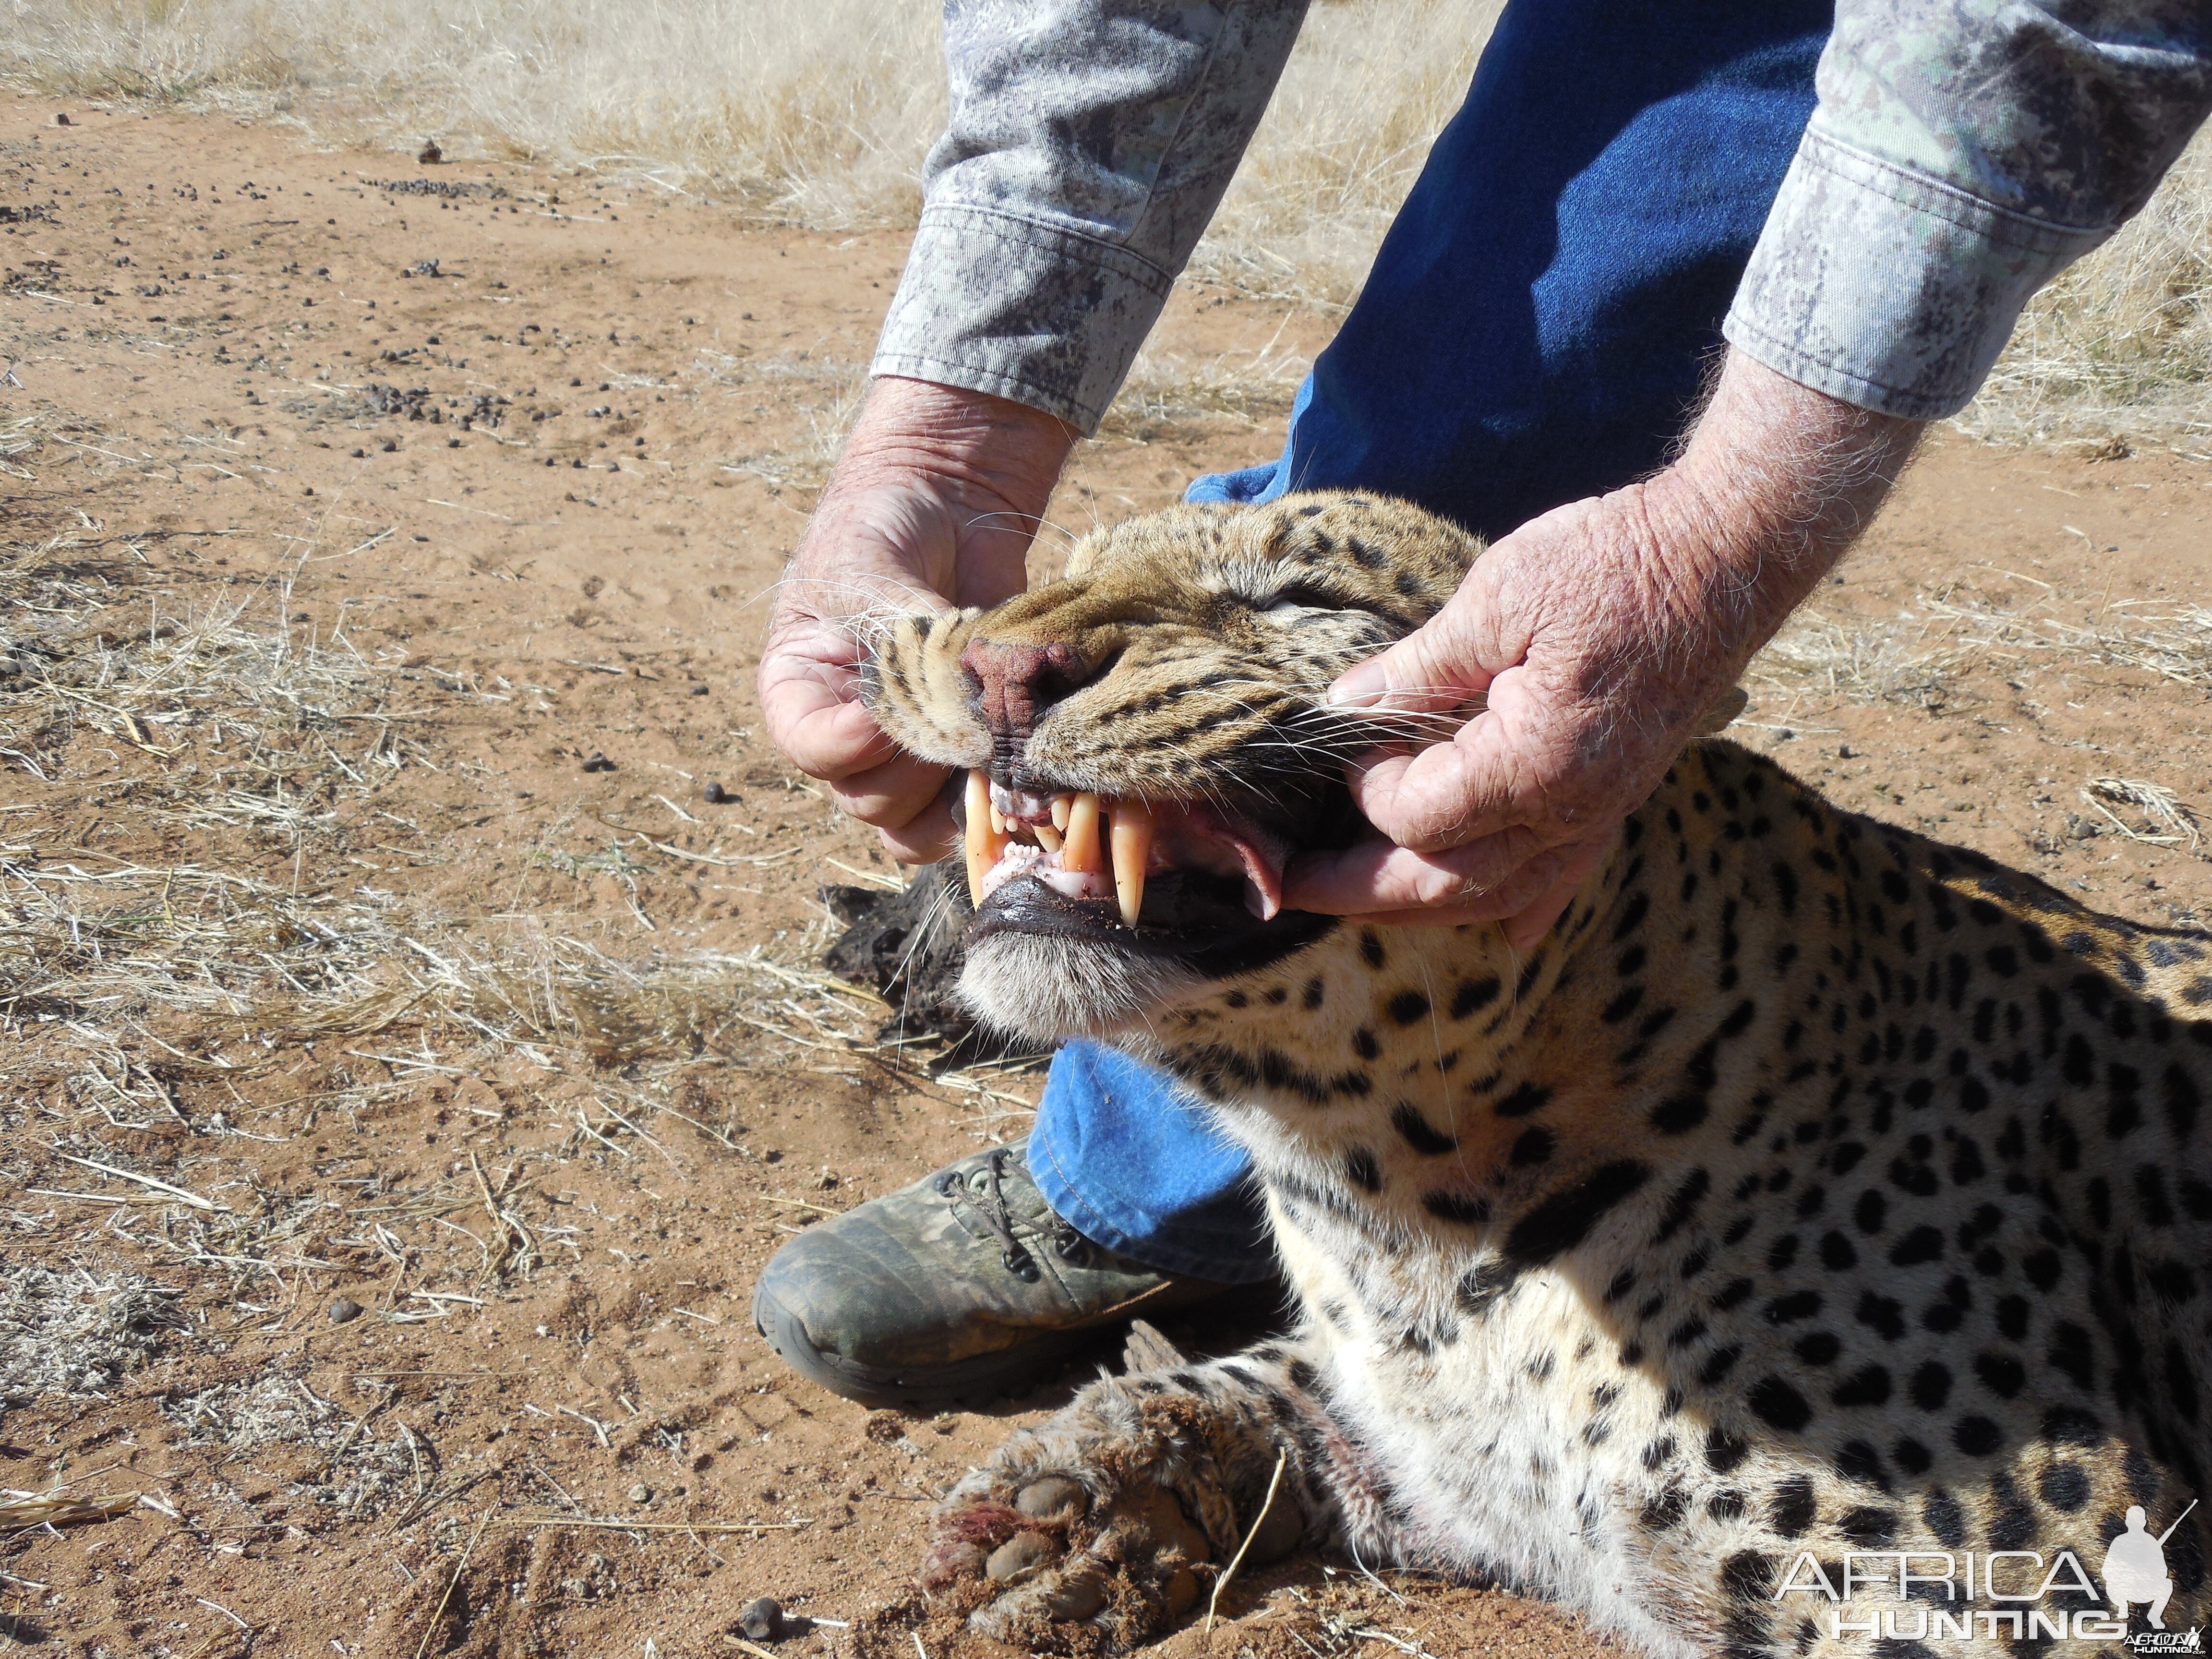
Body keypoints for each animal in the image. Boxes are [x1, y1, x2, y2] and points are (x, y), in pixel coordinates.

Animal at [849, 493, 2212, 1659]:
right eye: (1043, 580)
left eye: (1299, 594)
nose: (999, 670)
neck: (1394, 1215)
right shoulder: (1418, 1447)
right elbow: (1241, 1383)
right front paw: (1049, 1517)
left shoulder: (2034, 1587)